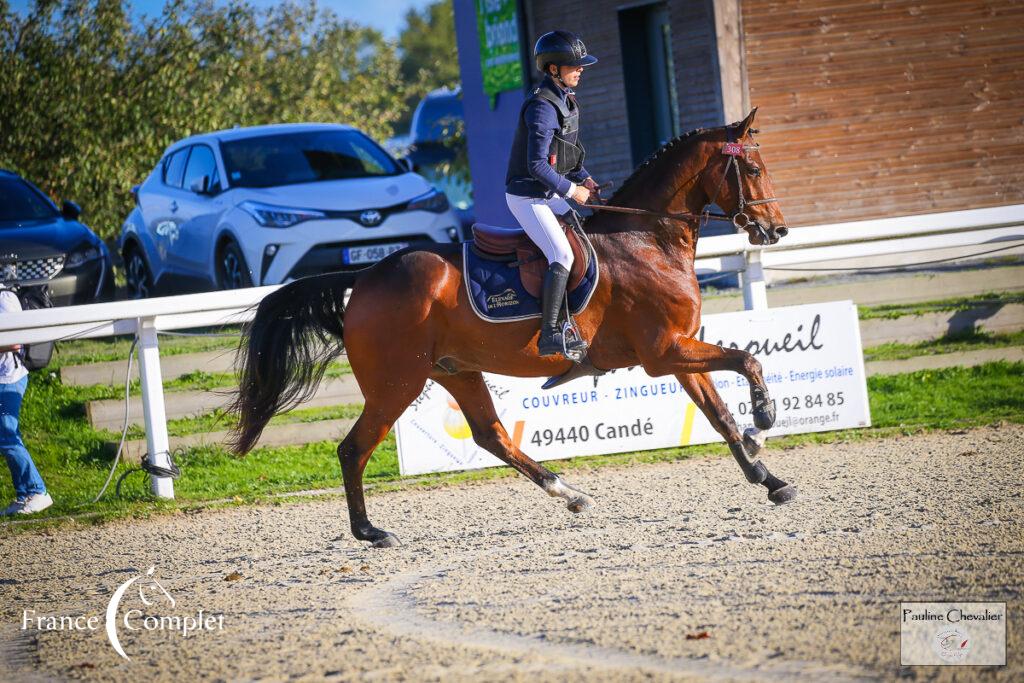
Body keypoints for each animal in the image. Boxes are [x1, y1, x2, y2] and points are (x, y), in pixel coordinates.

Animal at [230, 109, 790, 548]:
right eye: (753, 168)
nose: (776, 230)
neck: (646, 238)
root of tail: (365, 277)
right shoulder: (665, 352)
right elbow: (747, 359)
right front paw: (763, 421)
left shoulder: (677, 351)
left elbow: (719, 415)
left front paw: (767, 477)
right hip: (396, 384)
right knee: (353, 449)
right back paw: (371, 532)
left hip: (455, 370)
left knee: (491, 435)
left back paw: (570, 494)